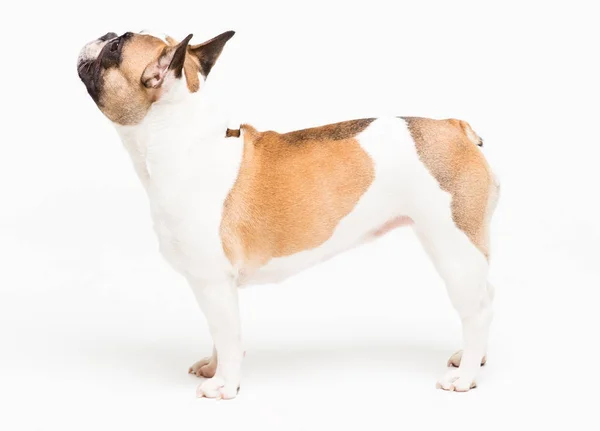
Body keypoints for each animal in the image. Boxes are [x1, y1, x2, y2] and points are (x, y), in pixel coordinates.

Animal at [77, 29, 500, 402]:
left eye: (116, 47)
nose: (106, 33)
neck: (182, 139)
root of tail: (455, 128)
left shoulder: (213, 281)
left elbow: (228, 334)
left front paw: (224, 385)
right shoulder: (213, 287)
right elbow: (218, 332)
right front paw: (214, 367)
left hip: (454, 246)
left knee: (476, 309)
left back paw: (464, 377)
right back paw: (473, 358)